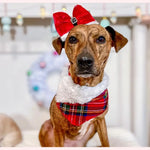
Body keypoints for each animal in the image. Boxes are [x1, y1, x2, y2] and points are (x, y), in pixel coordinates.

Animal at [38, 5, 127, 147]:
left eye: (101, 39)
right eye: (72, 39)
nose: (84, 61)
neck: (84, 89)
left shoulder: (101, 121)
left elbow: (106, 142)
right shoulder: (58, 127)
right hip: (45, 126)